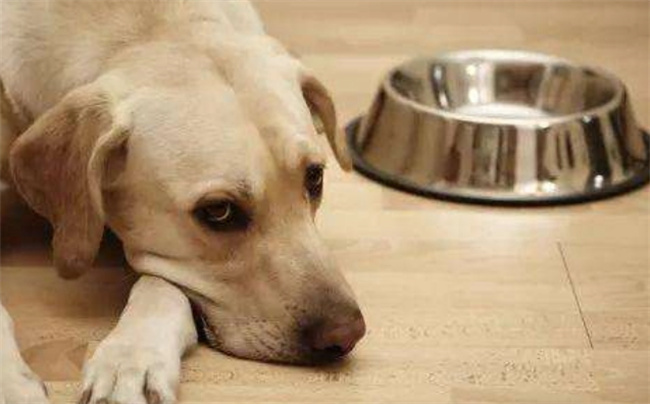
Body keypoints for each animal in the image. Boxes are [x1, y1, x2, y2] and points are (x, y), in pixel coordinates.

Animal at [0, 1, 366, 403]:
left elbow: (162, 287)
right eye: (218, 211)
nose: (347, 334)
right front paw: (12, 383)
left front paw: (131, 359)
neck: (149, 28)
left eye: (314, 177)